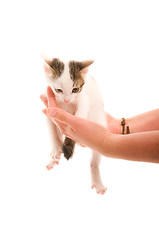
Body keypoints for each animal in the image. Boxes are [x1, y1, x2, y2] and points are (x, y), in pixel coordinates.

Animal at [42, 56, 107, 195]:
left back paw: (97, 180)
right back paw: (53, 160)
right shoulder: (49, 109)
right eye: (58, 90)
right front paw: (55, 149)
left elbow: (82, 108)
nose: (67, 100)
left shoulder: (83, 98)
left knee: (95, 159)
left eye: (75, 89)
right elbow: (51, 130)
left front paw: (76, 126)